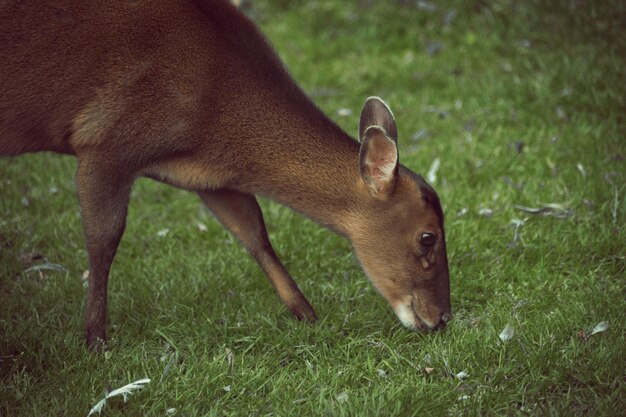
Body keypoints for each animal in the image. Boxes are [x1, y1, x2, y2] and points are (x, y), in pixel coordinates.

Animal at [0, 0, 448, 348]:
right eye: (428, 237)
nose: (443, 318)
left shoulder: (211, 178)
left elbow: (253, 232)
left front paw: (308, 315)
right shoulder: (103, 141)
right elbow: (103, 239)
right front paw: (95, 338)